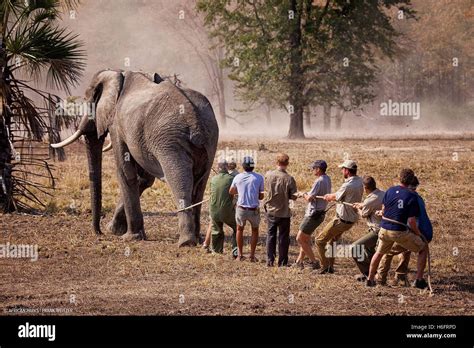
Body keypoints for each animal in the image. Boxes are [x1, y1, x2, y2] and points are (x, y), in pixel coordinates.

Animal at [52, 69, 219, 246]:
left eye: (87, 99)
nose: (99, 232)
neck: (119, 74)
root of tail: (195, 121)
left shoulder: (117, 124)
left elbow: (125, 172)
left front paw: (129, 237)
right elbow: (144, 178)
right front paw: (114, 230)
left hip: (171, 143)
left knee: (179, 180)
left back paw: (186, 242)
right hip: (210, 140)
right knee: (200, 184)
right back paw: (198, 238)